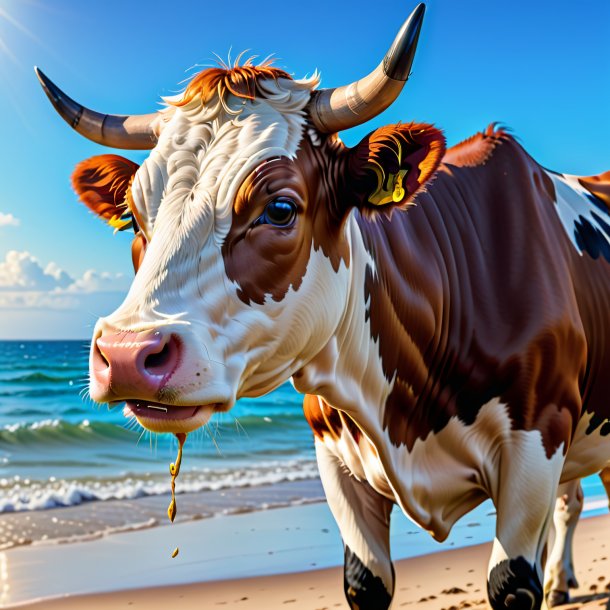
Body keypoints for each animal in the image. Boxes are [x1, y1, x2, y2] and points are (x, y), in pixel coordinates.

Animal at [38, 4, 608, 608]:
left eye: (280, 209)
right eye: (132, 214)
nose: (126, 354)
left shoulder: (537, 443)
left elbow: (512, 582)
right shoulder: (337, 461)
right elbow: (365, 581)